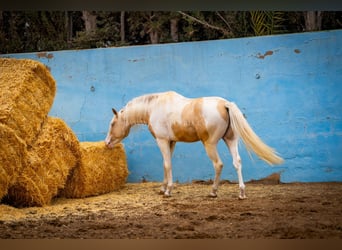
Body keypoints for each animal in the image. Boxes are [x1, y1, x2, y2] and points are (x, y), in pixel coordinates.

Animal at [105, 91, 284, 199]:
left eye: (113, 123)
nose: (107, 143)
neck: (154, 107)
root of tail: (225, 104)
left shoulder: (162, 141)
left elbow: (167, 165)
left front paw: (168, 191)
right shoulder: (171, 142)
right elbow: (166, 165)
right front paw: (163, 188)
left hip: (210, 144)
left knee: (218, 164)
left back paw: (213, 191)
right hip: (230, 140)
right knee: (237, 162)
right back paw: (241, 192)